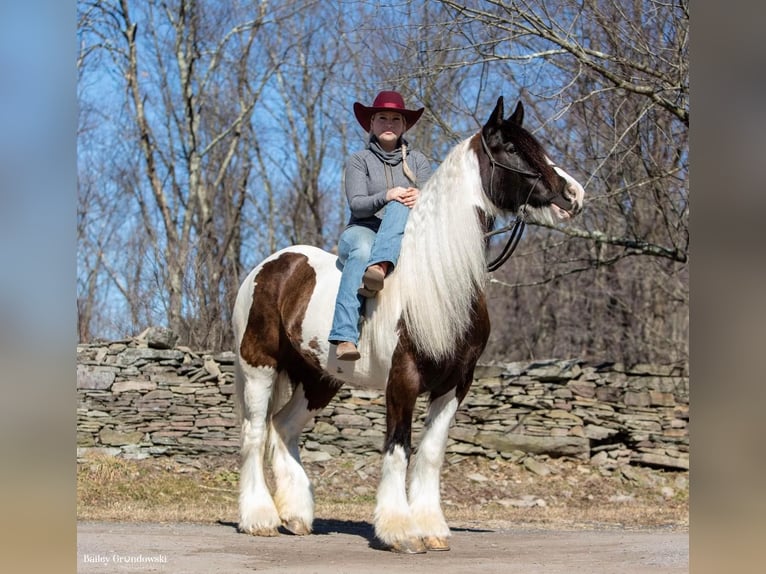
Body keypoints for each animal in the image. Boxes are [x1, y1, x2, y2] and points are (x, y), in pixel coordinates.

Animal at [231, 97, 584, 556]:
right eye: (510, 148)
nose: (572, 194)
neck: (438, 278)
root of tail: (271, 265)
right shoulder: (403, 379)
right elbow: (398, 447)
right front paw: (399, 531)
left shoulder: (456, 382)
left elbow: (430, 452)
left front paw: (432, 528)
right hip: (260, 366)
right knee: (255, 433)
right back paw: (260, 518)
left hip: (318, 379)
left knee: (283, 428)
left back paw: (296, 515)